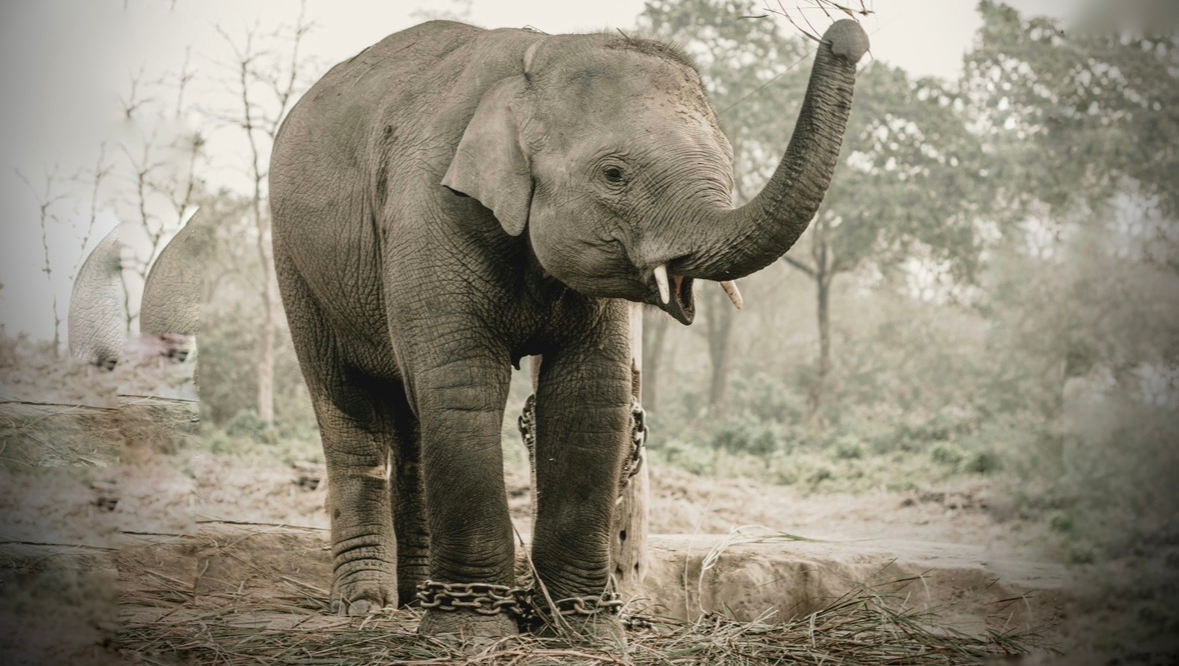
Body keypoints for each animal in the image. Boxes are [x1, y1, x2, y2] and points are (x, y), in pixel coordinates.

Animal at [269, 18, 867, 643]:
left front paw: (585, 631)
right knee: (349, 404)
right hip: (295, 262)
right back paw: (365, 607)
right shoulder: (427, 208)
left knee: (411, 419)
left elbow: (591, 395)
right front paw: (470, 634)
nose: (848, 34)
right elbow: (463, 385)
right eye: (614, 174)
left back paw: (412, 599)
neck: (539, 59)